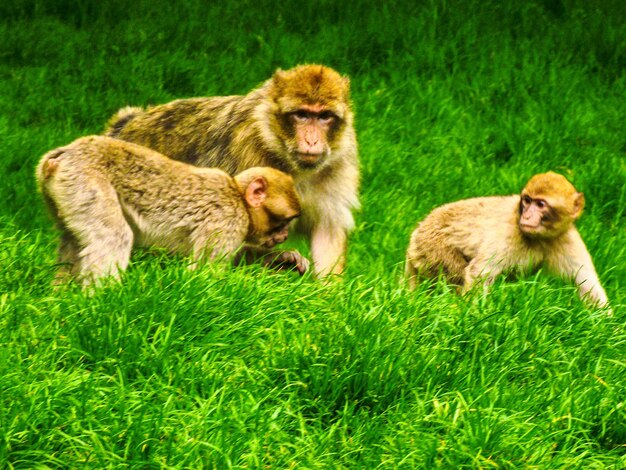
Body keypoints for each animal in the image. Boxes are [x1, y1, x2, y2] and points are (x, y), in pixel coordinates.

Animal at [35, 134, 306, 284]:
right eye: (283, 222)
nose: (283, 236)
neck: (237, 196)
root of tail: (64, 154)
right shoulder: (228, 220)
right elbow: (203, 275)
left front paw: (284, 259)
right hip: (86, 179)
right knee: (113, 236)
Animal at [105, 63, 358, 276]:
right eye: (302, 115)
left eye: (324, 116)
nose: (312, 141)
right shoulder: (248, 155)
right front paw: (278, 259)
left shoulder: (340, 160)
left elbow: (327, 233)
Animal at [404, 172, 608, 308]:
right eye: (527, 201)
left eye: (540, 204)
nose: (527, 216)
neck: (539, 238)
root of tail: (418, 230)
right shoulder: (508, 234)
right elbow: (478, 274)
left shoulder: (566, 238)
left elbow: (588, 285)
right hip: (432, 248)